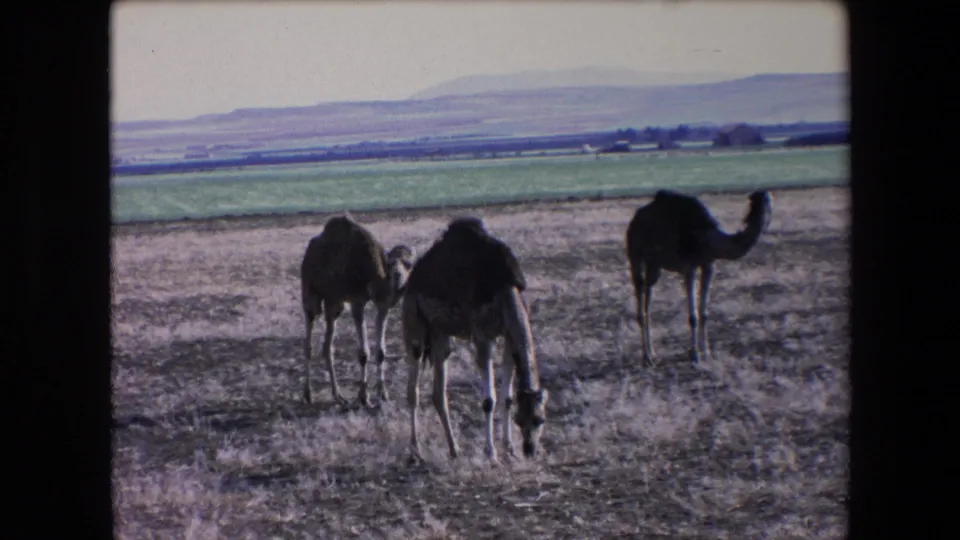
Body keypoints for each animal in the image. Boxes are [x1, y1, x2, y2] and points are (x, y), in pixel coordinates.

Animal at [299, 213, 416, 406]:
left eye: (409, 264)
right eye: (391, 263)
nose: (399, 276)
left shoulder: (383, 305)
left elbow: (381, 352)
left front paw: (383, 394)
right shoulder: (357, 302)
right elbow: (363, 353)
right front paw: (363, 396)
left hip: (334, 302)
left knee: (327, 345)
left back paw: (338, 396)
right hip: (310, 289)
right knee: (309, 334)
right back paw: (308, 394)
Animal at [401, 217, 547, 462]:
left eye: (540, 419)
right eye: (520, 420)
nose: (530, 450)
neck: (504, 287)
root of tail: (411, 279)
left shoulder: (507, 336)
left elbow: (507, 397)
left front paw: (509, 449)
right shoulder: (483, 336)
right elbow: (489, 400)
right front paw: (491, 453)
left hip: (440, 334)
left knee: (438, 392)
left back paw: (454, 450)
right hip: (413, 324)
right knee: (413, 390)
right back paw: (415, 452)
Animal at [625, 189, 774, 364]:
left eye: (769, 202)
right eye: (763, 202)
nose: (766, 220)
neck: (707, 238)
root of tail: (634, 220)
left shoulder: (708, 265)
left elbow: (704, 313)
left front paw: (707, 353)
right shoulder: (689, 267)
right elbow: (693, 316)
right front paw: (694, 355)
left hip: (654, 264)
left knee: (648, 293)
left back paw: (652, 353)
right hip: (635, 254)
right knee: (639, 288)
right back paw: (646, 356)